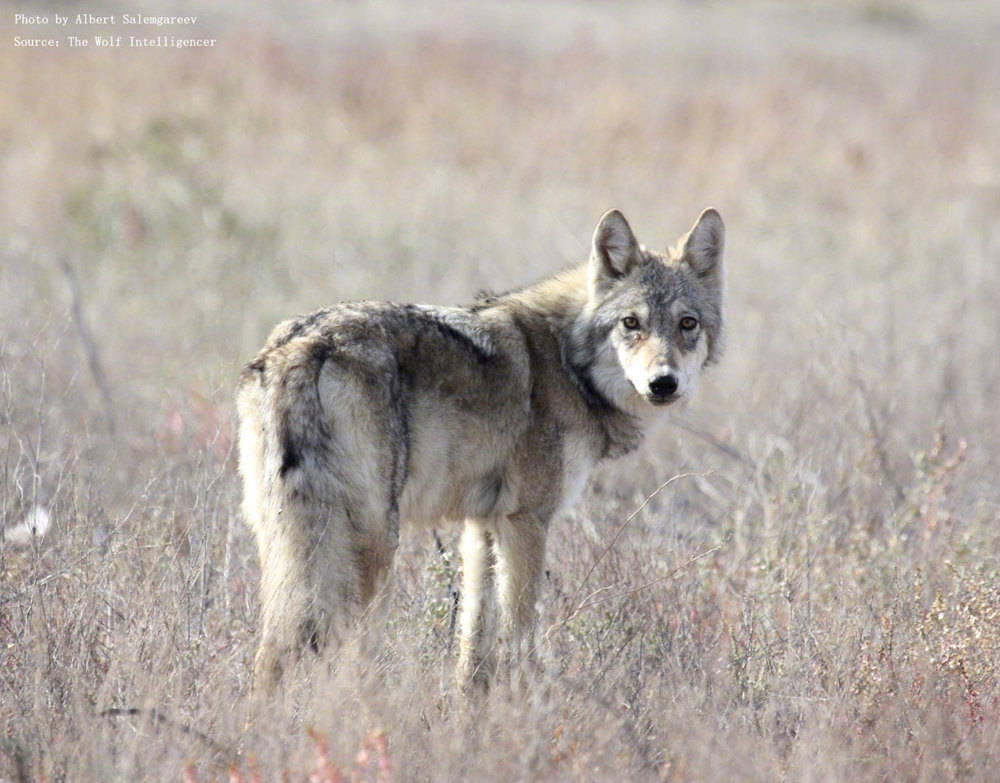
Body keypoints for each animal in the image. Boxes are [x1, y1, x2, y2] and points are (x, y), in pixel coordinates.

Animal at [240, 207, 728, 692]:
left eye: (687, 324)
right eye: (631, 323)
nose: (663, 383)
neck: (566, 361)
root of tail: (304, 345)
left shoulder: (481, 526)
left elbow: (474, 644)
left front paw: (467, 708)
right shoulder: (526, 521)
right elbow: (521, 634)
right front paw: (527, 702)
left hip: (286, 539)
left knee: (271, 650)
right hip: (371, 547)